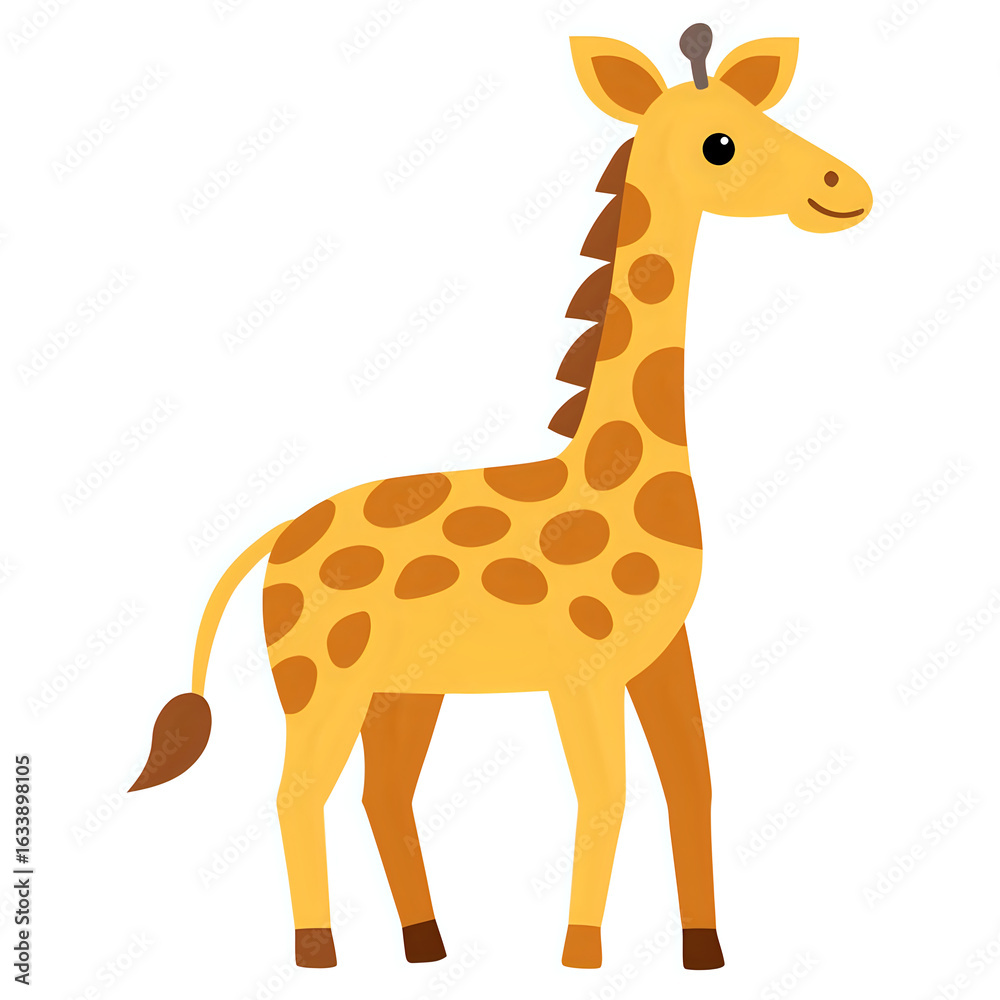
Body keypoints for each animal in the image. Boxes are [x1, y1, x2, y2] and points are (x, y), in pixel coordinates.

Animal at [129, 25, 872, 972]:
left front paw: (703, 952)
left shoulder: (665, 653)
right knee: (298, 792)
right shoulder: (584, 667)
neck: (614, 473)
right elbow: (607, 795)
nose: (845, 188)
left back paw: (426, 946)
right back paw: (318, 951)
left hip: (403, 690)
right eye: (720, 144)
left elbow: (692, 783)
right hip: (317, 683)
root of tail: (278, 535)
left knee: (381, 795)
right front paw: (581, 954)